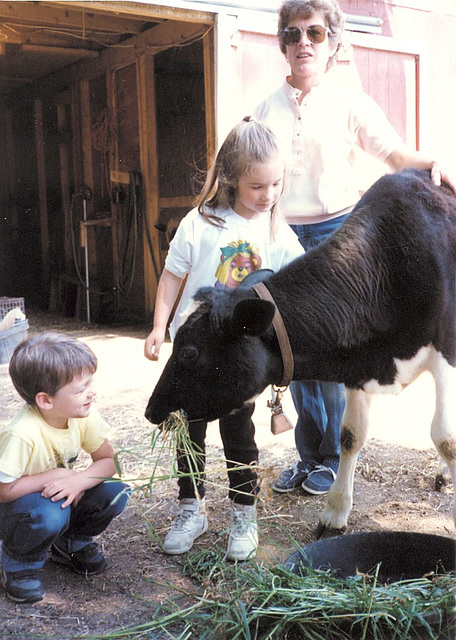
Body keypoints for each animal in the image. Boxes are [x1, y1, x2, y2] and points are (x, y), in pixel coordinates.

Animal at [147, 168, 456, 532]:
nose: (151, 410)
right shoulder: (357, 367)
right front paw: (335, 513)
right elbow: (350, 434)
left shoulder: (447, 354)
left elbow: (446, 437)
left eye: (190, 352)